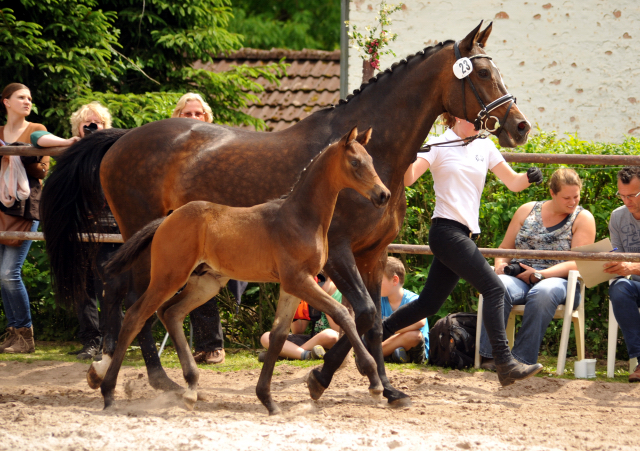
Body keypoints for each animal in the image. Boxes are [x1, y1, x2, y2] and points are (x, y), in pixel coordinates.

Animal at [100, 128, 390, 416]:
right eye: (355, 163)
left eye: (371, 160)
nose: (383, 195)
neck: (300, 217)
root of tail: (166, 219)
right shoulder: (300, 281)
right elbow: (343, 313)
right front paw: (374, 381)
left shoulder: (292, 286)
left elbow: (277, 336)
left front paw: (268, 399)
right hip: (169, 276)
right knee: (135, 316)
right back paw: (108, 392)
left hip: (205, 283)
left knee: (170, 313)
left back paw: (191, 389)